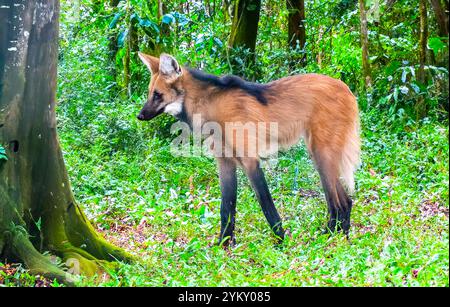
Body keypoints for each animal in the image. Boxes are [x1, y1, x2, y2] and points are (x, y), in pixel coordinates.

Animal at [135, 52, 360, 245]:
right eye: (149, 94)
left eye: (158, 95)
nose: (140, 116)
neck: (209, 107)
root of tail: (346, 88)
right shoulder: (224, 160)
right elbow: (226, 207)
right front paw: (223, 243)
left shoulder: (249, 160)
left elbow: (265, 203)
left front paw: (280, 241)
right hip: (318, 154)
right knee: (343, 200)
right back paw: (333, 235)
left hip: (321, 153)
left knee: (339, 201)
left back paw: (334, 238)